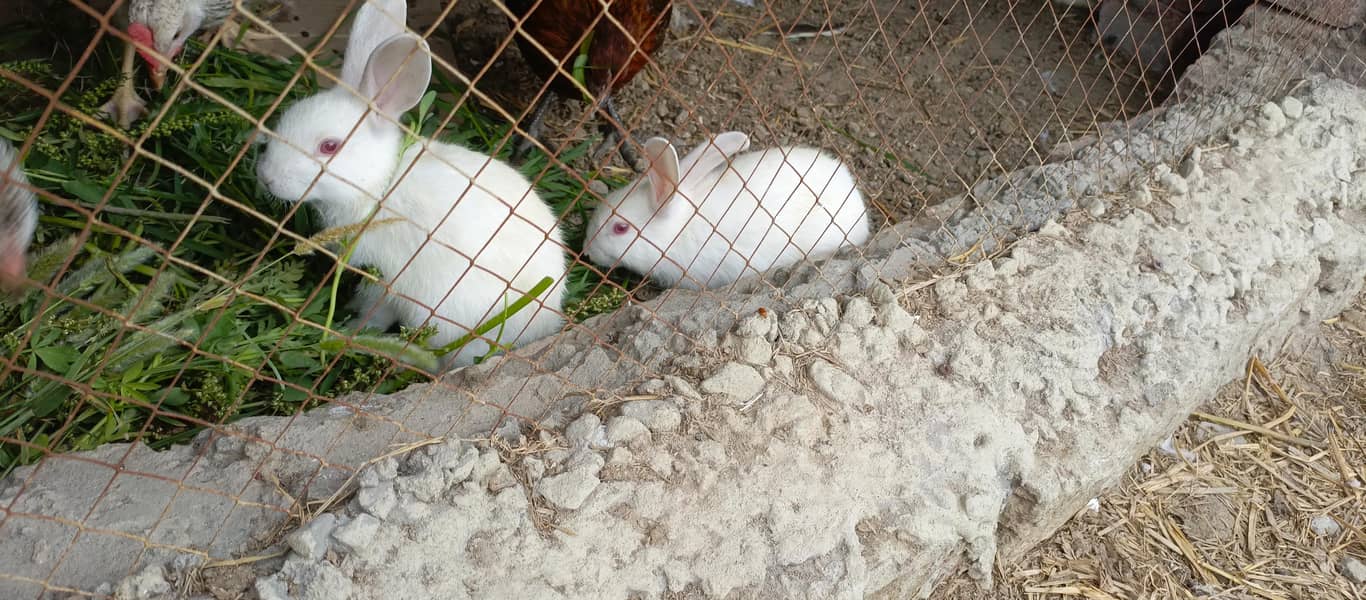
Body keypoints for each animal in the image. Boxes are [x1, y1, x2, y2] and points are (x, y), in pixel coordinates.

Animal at [255, 0, 566, 369]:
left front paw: (355, 329)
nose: (267, 176)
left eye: (329, 146)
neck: (381, 184)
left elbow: (375, 310)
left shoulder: (386, 278)